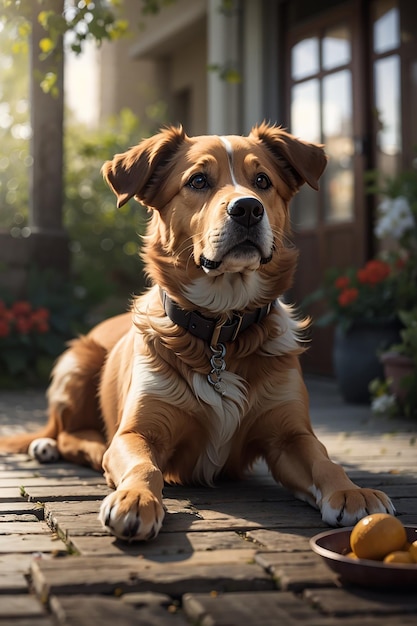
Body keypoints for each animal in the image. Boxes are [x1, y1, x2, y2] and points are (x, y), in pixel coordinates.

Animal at [0, 124, 394, 540]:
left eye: (262, 181)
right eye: (198, 180)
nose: (248, 208)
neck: (221, 328)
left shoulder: (291, 436)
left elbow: (325, 461)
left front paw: (353, 493)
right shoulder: (138, 433)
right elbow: (144, 465)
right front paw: (136, 498)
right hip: (76, 361)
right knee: (68, 434)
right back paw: (70, 448)